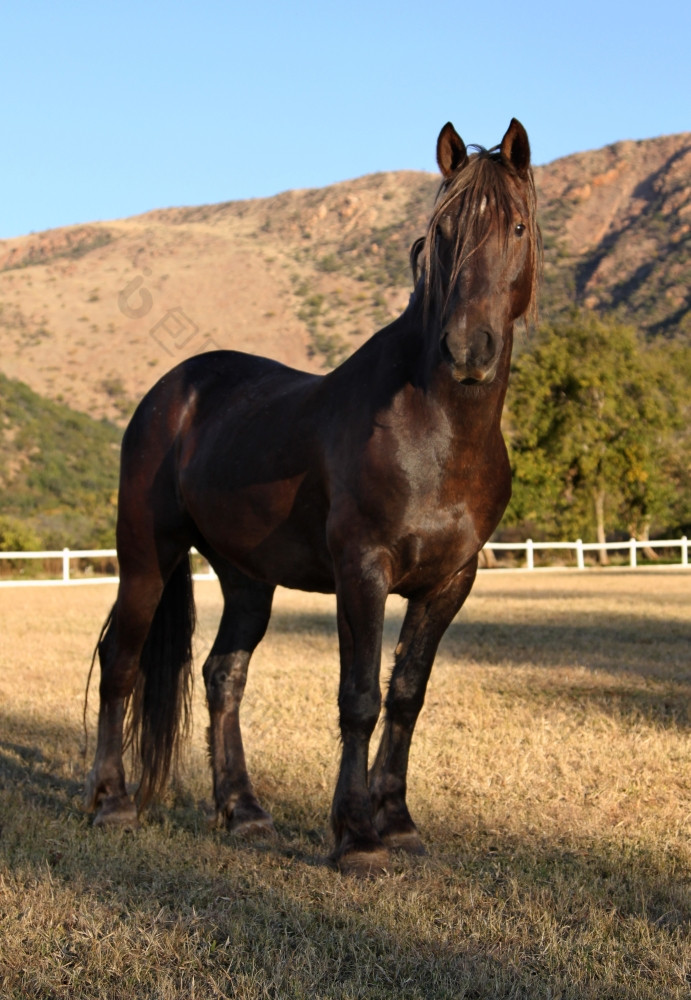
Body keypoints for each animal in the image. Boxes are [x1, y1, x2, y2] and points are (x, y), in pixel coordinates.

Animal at [85, 117, 540, 872]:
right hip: (147, 558)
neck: (436, 427)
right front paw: (356, 837)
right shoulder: (363, 571)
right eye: (442, 230)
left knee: (222, 675)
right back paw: (111, 802)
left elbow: (406, 696)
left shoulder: (449, 582)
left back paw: (243, 812)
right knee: (121, 662)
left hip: (246, 578)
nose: (467, 349)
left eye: (518, 226)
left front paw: (398, 823)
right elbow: (358, 697)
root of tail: (170, 392)